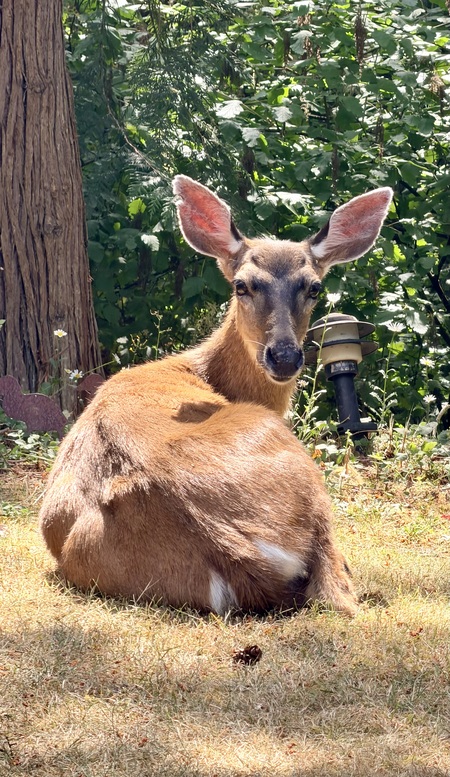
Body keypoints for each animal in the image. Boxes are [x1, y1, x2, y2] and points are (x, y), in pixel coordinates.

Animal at [39, 176, 392, 616]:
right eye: (242, 285)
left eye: (314, 287)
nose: (284, 355)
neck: (203, 371)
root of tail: (237, 549)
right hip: (299, 465)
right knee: (337, 590)